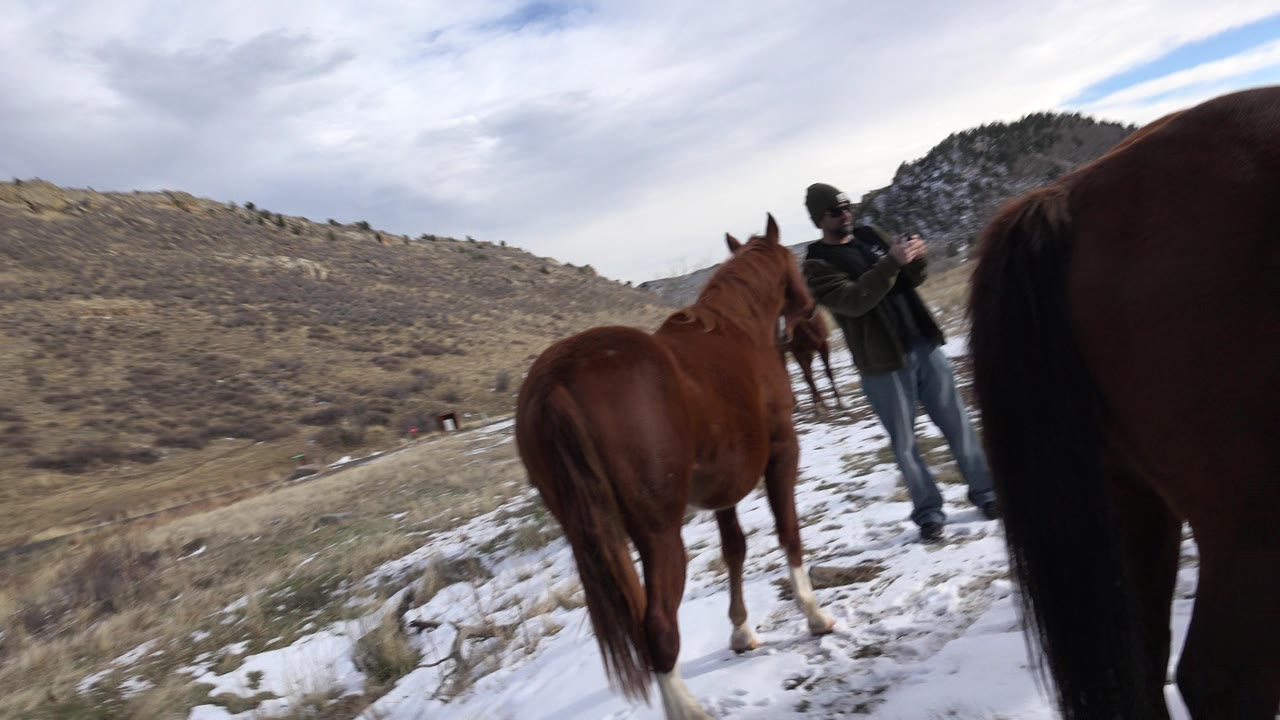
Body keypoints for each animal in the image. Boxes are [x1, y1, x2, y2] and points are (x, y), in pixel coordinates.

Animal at [515, 214, 835, 719]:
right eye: (793, 261)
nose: (808, 306)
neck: (739, 329)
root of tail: (556, 380)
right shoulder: (783, 454)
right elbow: (789, 534)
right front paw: (815, 614)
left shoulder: (723, 488)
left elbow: (734, 550)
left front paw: (741, 631)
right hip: (660, 535)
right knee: (659, 624)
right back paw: (687, 707)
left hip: (599, 540)